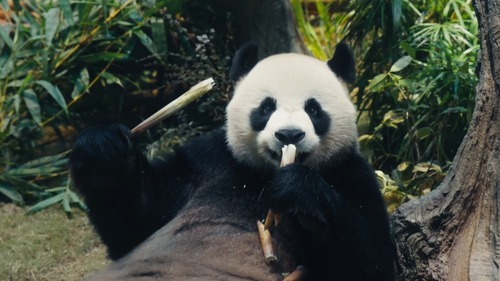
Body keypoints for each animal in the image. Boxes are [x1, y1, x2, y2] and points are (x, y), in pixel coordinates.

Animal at [69, 42, 394, 278]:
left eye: (314, 110)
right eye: (266, 107)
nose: (289, 134)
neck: (263, 175)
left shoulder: (348, 171)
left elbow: (369, 261)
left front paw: (298, 190)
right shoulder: (208, 160)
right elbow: (135, 223)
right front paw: (102, 151)